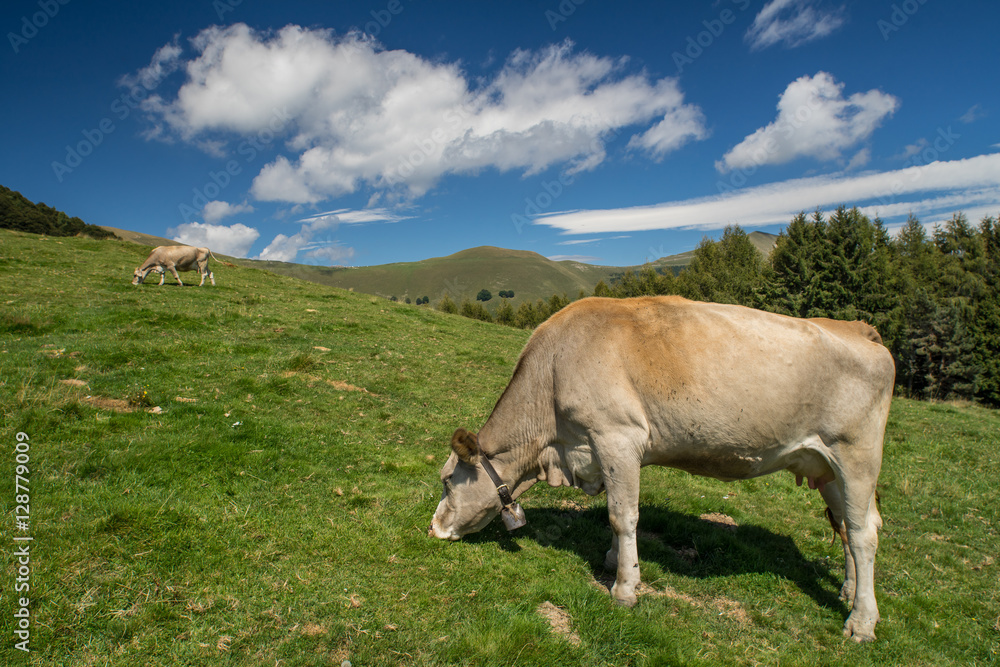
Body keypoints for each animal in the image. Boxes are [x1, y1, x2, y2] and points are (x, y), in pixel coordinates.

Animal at [429, 296, 894, 642]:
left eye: (448, 480)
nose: (433, 528)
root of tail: (857, 328)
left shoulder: (616, 435)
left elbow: (622, 515)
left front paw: (625, 589)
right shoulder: (605, 450)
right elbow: (618, 514)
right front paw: (612, 560)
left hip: (857, 455)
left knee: (864, 532)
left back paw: (861, 621)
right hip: (826, 466)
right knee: (847, 526)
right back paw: (849, 590)